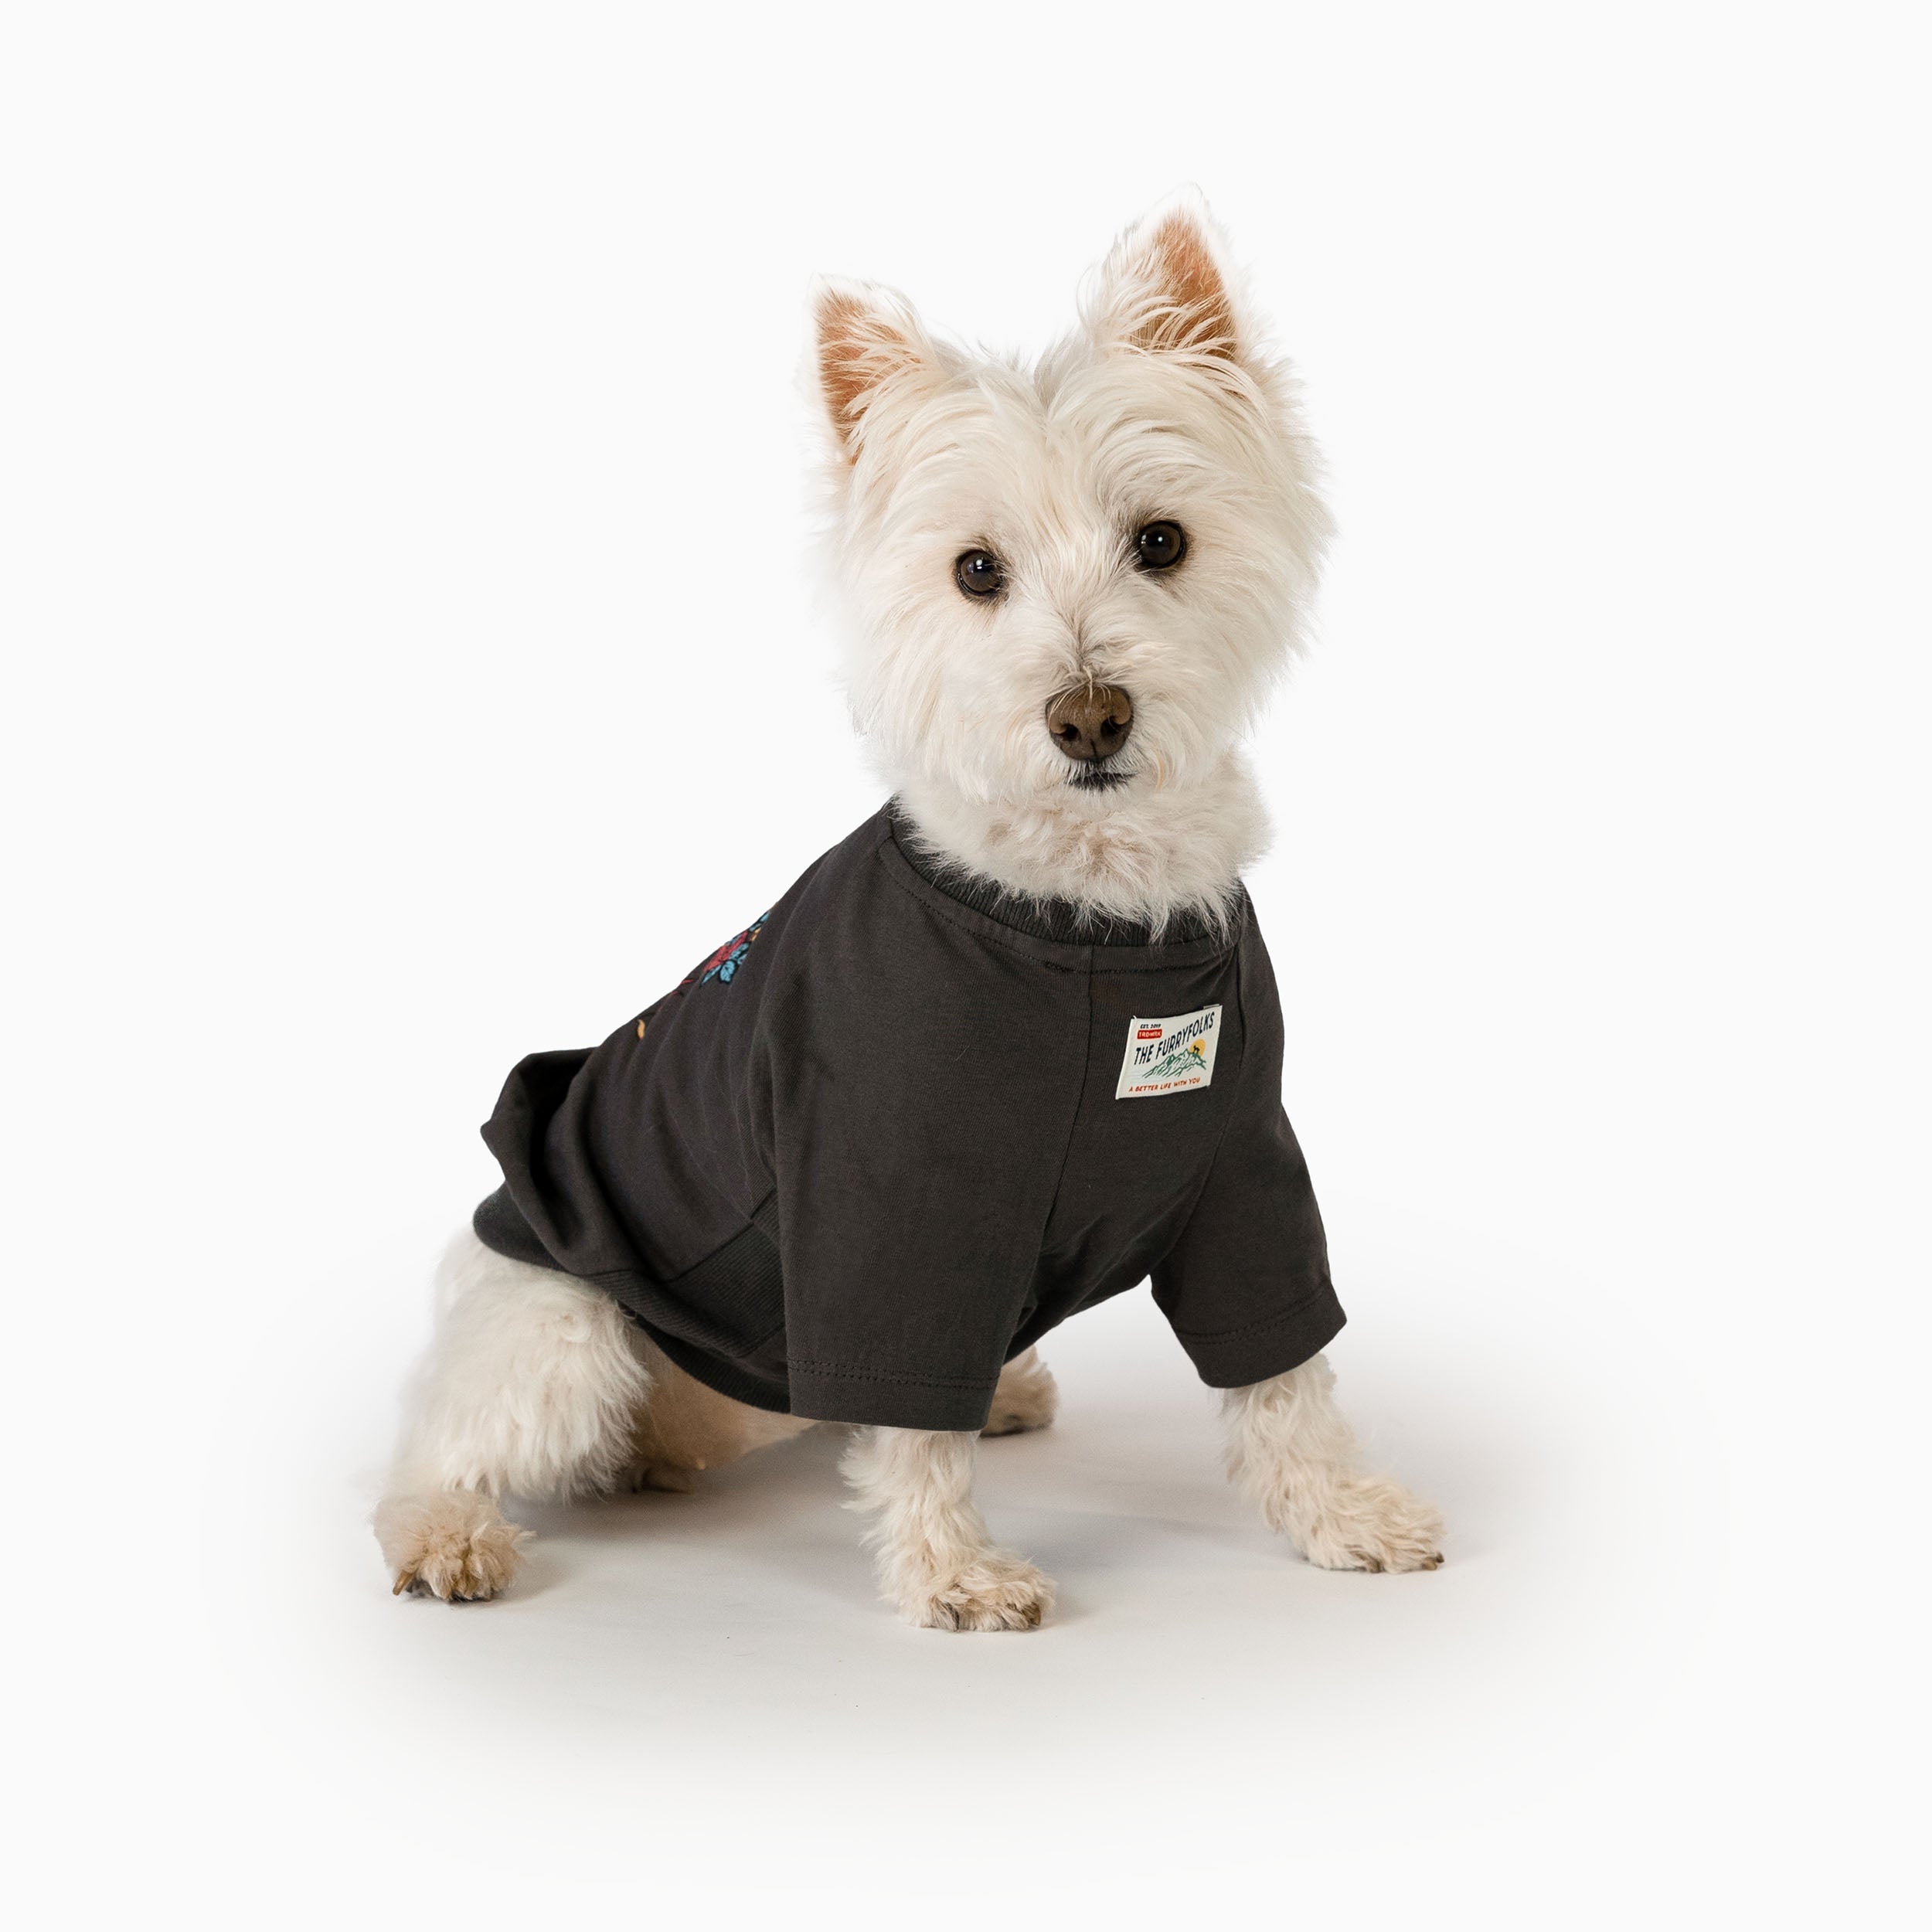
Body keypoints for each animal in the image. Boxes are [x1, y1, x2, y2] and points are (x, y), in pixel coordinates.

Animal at [376, 196, 1445, 1623]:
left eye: (1162, 541)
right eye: (976, 570)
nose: (1089, 718)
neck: (1084, 925)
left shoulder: (1243, 1170)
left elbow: (1283, 1371)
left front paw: (1345, 1512)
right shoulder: (887, 1194)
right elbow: (907, 1408)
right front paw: (953, 1573)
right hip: (563, 1323)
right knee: (449, 1437)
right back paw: (447, 1535)